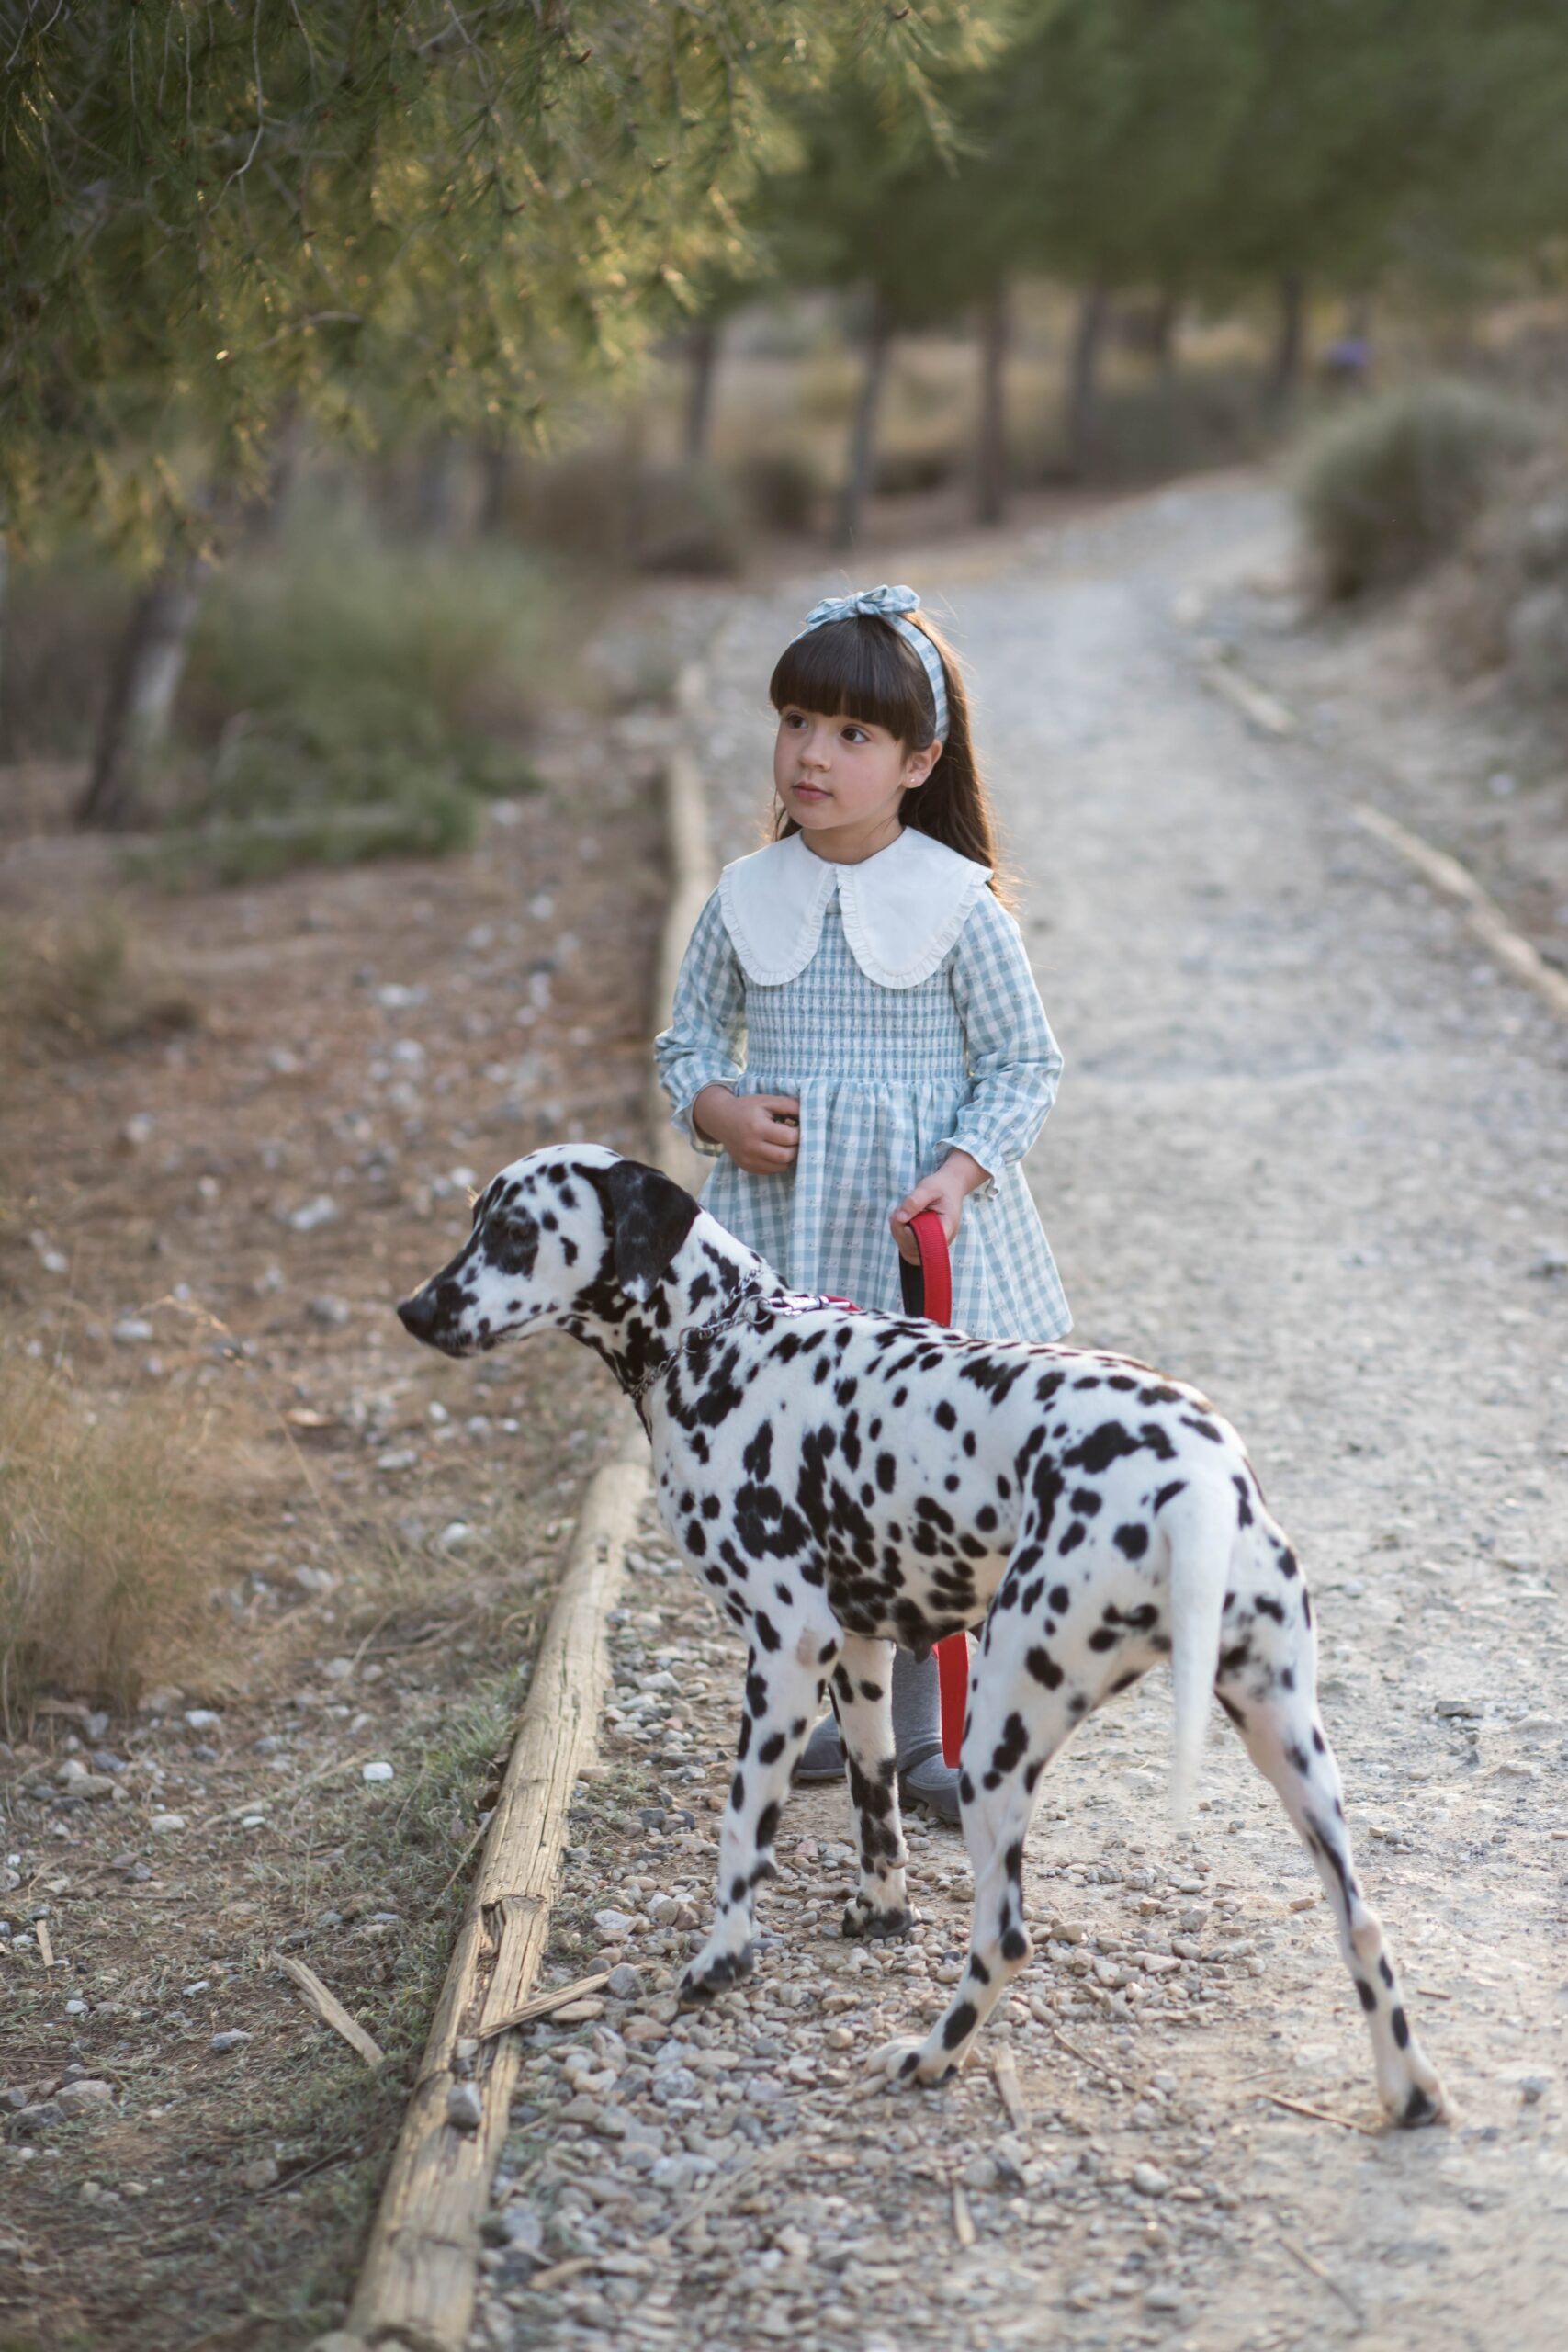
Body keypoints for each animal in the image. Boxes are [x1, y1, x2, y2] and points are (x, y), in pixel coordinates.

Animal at [397, 1146, 1450, 2126]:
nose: (412, 1310)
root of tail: (1197, 1472)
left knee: (1006, 1938)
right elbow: (877, 1800)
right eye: (475, 1217)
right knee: (1362, 1926)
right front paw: (881, 1911)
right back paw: (1409, 2090)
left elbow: (741, 1832)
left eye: (519, 1234)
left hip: (999, 1743)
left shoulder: (782, 1652)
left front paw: (721, 1960)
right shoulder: (860, 1654)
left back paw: (930, 2057)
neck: (724, 1339)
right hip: (1290, 1750)